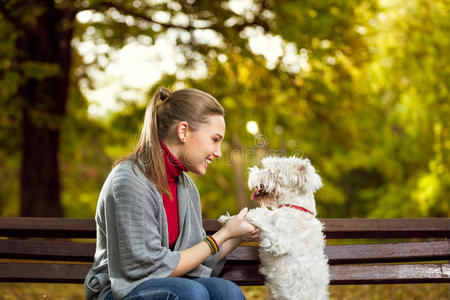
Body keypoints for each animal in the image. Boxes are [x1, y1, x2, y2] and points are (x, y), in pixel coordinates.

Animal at [220, 157, 328, 300]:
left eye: (273, 172)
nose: (251, 175)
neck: (294, 207)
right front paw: (226, 218)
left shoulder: (280, 241)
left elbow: (262, 217)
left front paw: (249, 215)